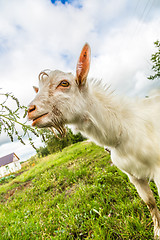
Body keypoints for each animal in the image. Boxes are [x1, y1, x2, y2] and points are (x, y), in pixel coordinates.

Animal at [28, 43, 160, 238]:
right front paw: (157, 232)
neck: (124, 128)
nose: (30, 110)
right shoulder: (133, 175)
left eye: (64, 83)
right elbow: (149, 202)